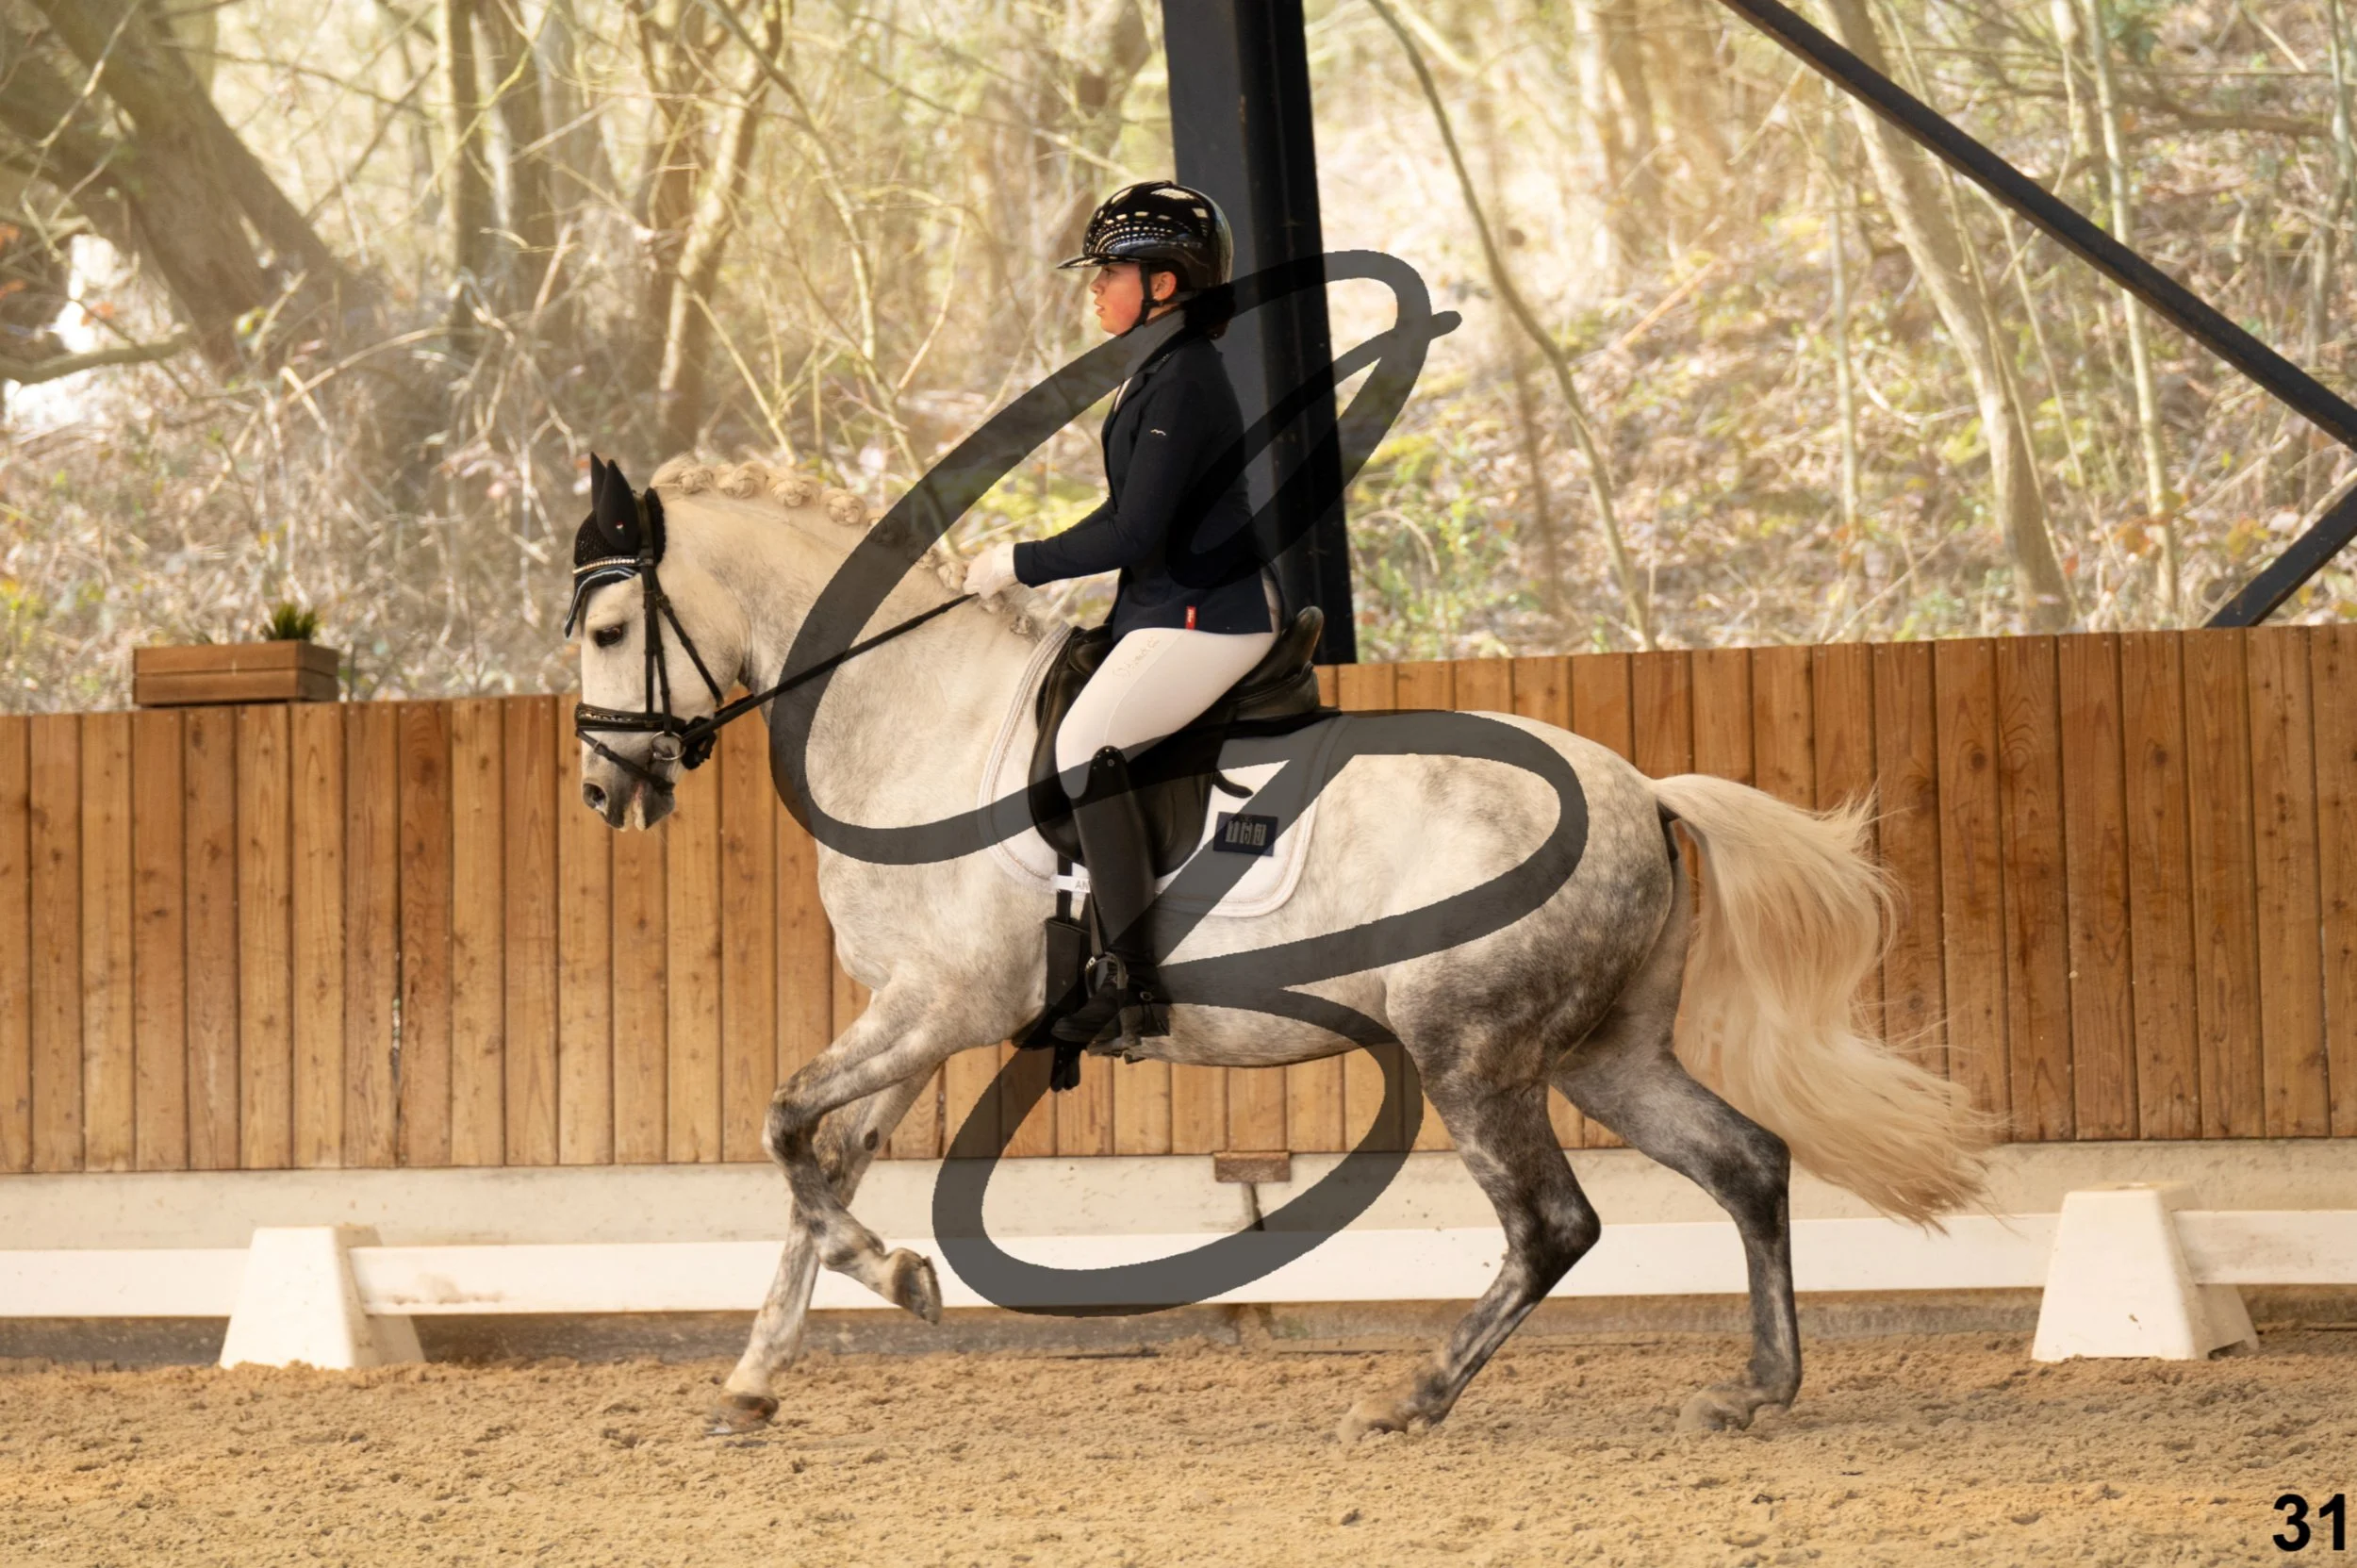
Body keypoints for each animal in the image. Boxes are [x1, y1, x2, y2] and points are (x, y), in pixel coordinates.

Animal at [569, 455, 1997, 1441]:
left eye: (603, 631)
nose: (603, 789)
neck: (916, 715)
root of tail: (1640, 787)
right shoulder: (914, 1015)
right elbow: (822, 1166)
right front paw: (753, 1382)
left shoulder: (941, 1006)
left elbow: (782, 1126)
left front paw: (906, 1278)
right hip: (1604, 1054)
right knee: (1747, 1163)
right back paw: (1757, 1388)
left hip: (1471, 1051)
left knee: (1553, 1223)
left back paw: (1411, 1397)